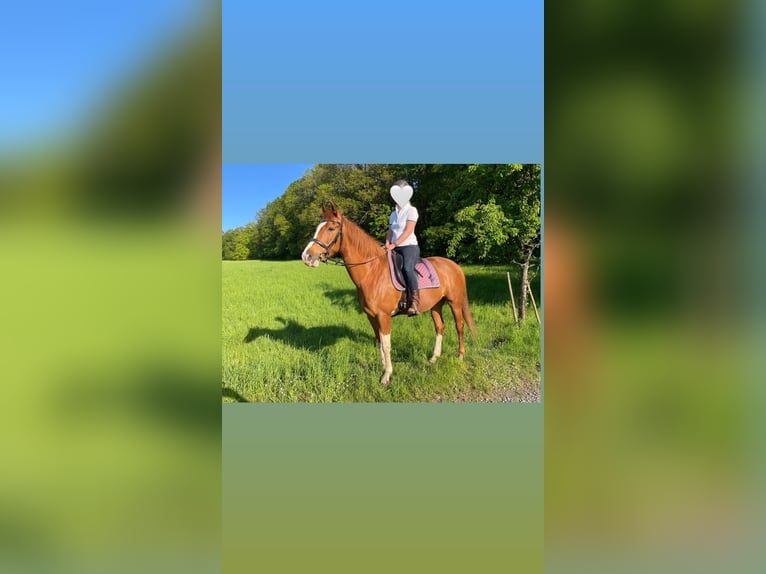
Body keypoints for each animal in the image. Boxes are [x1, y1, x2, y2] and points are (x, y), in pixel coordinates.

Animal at [301, 200, 477, 385]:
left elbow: (386, 344)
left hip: (455, 302)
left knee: (459, 326)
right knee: (440, 326)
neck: (372, 271)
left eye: (330, 228)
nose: (307, 256)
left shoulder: (383, 316)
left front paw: (387, 375)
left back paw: (460, 357)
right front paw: (383, 368)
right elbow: (379, 342)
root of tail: (455, 266)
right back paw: (434, 358)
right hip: (436, 305)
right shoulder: (371, 316)